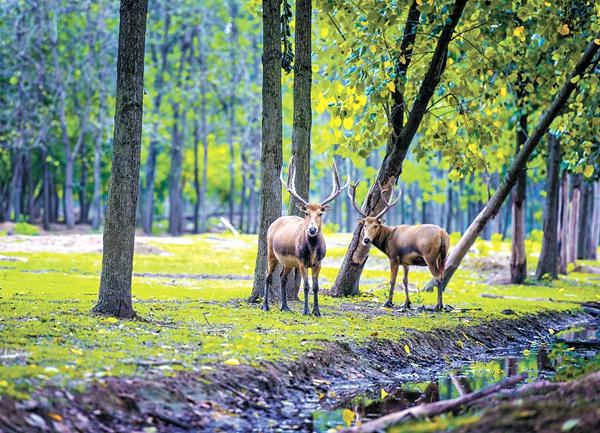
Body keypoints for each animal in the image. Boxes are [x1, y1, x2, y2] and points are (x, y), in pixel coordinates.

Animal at [262, 158, 350, 314]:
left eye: (320, 214)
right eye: (306, 213)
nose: (312, 229)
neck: (313, 251)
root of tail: (274, 223)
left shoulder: (319, 262)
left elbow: (315, 287)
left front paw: (317, 311)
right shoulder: (302, 261)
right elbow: (306, 286)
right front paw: (306, 311)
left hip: (288, 262)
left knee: (283, 278)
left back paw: (285, 307)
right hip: (271, 252)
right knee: (268, 276)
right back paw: (265, 306)